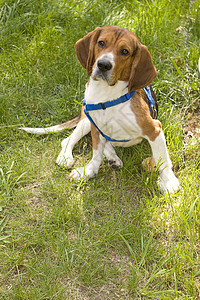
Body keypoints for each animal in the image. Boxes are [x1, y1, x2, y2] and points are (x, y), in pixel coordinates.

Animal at [21, 25, 180, 195]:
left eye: (125, 51)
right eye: (101, 43)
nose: (103, 64)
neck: (107, 96)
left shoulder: (154, 129)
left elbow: (162, 160)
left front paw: (168, 181)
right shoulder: (95, 126)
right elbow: (96, 153)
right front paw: (89, 171)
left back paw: (112, 158)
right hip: (86, 120)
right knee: (69, 140)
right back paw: (70, 156)